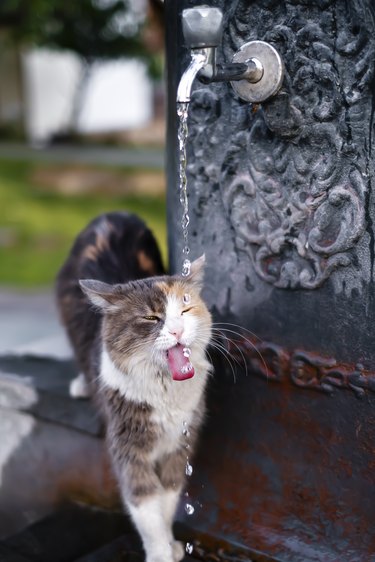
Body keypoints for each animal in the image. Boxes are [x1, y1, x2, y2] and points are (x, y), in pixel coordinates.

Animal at [57, 211, 213, 560]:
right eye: (152, 318)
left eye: (185, 308)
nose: (177, 329)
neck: (165, 391)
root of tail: (111, 214)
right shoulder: (129, 447)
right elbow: (145, 506)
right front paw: (160, 553)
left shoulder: (178, 443)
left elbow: (167, 500)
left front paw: (171, 544)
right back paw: (81, 385)